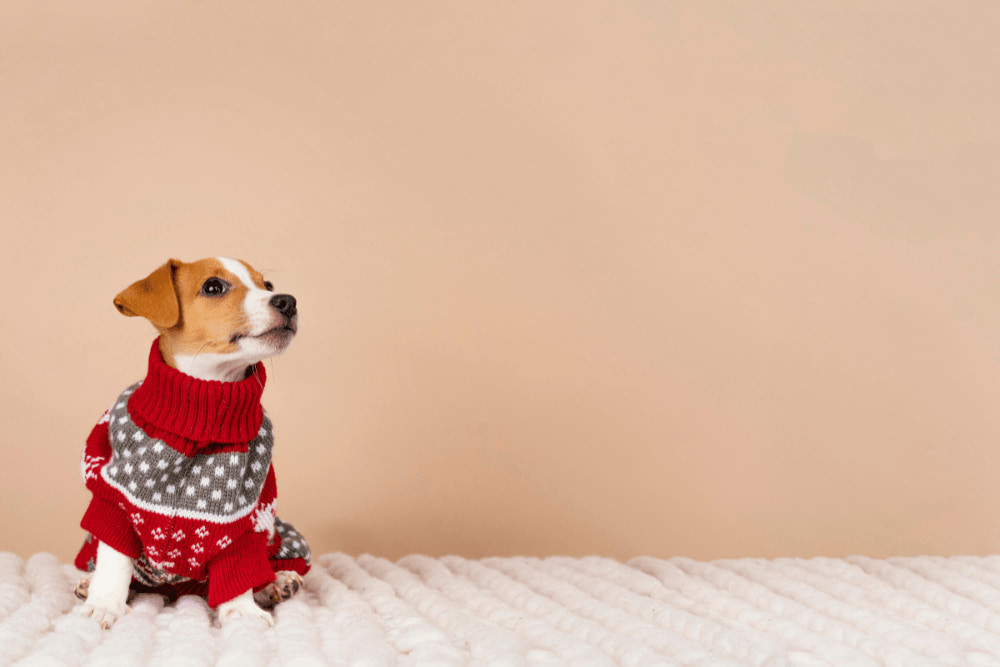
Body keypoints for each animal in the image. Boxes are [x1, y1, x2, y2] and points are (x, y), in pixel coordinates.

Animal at [75, 257, 311, 628]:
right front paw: (105, 604)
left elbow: (237, 567)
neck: (204, 407)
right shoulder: (114, 500)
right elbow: (114, 558)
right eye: (213, 286)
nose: (288, 301)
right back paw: (88, 583)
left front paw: (242, 611)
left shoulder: (241, 519)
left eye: (268, 285)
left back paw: (276, 582)